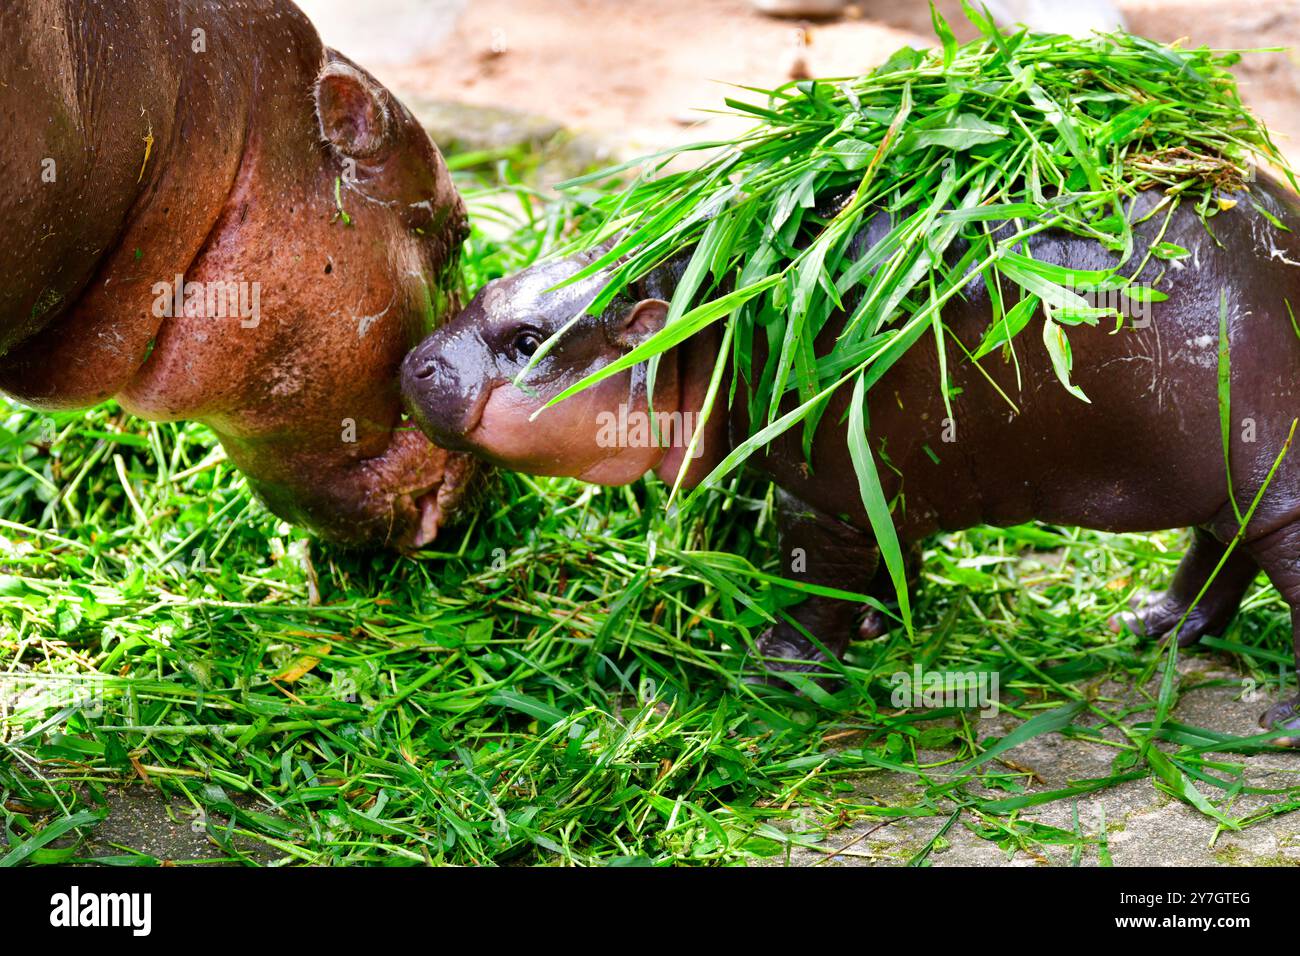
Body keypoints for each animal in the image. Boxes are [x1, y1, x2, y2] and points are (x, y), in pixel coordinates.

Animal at [408, 171, 1300, 738]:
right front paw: (876, 622)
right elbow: (892, 551)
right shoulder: (883, 480)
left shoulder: (820, 494)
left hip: (1270, 475)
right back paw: (1153, 627)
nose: (414, 363)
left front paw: (770, 673)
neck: (703, 311)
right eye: (488, 286)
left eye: (528, 341)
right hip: (1226, 476)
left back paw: (1277, 722)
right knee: (1221, 546)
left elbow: (812, 583)